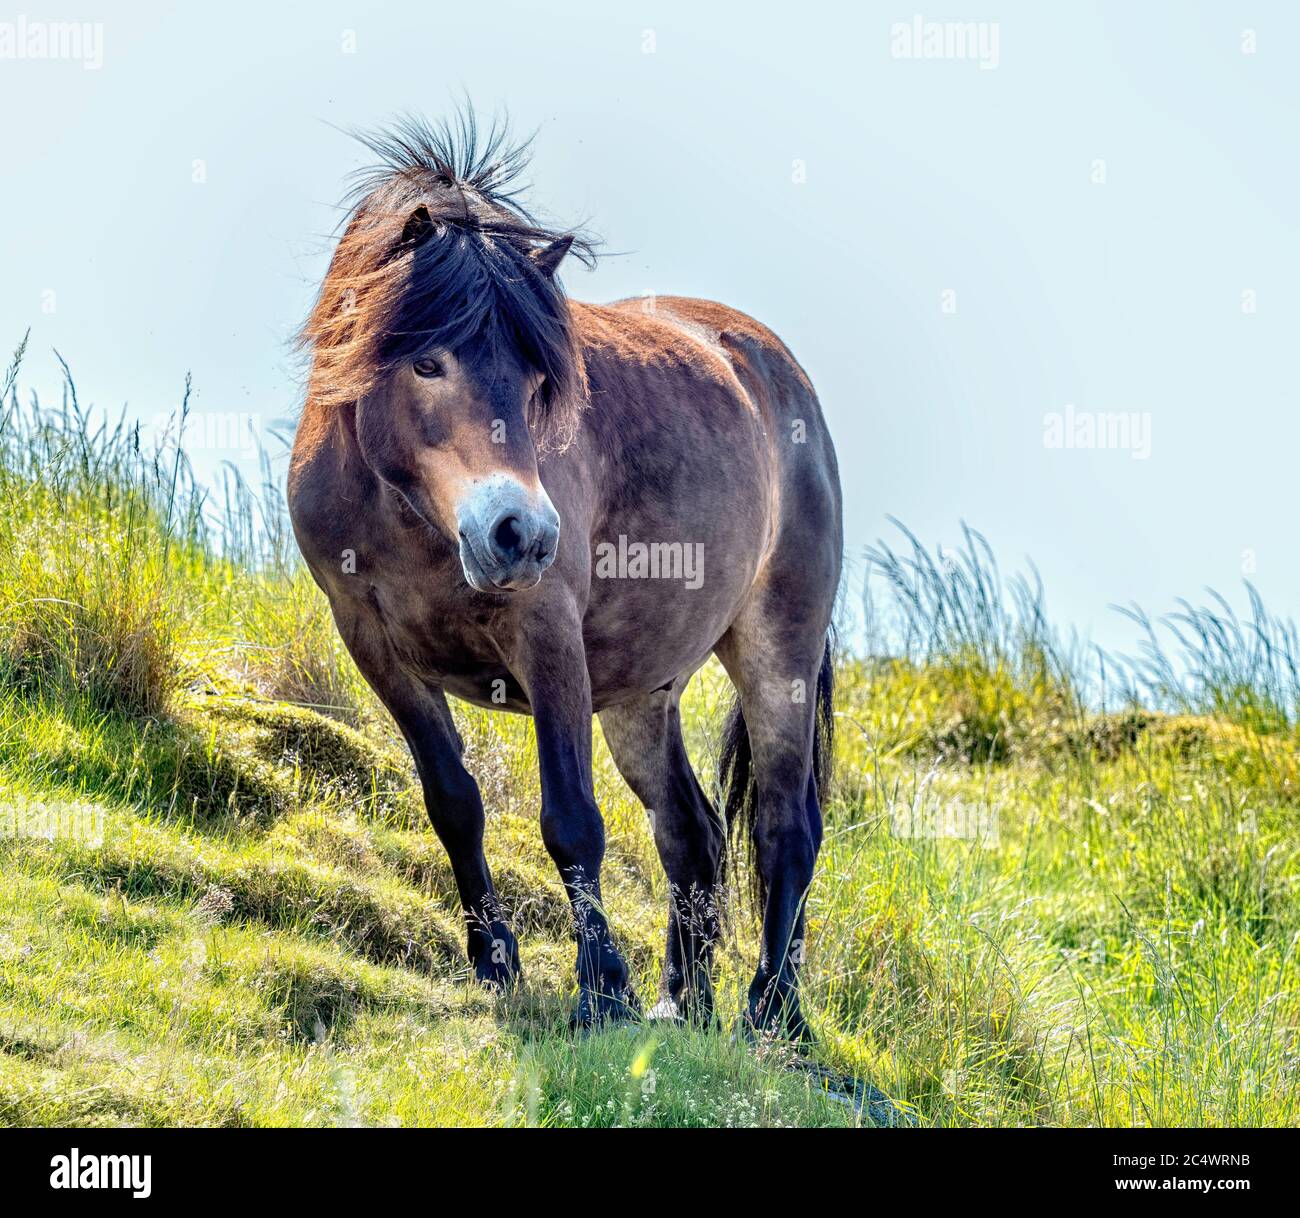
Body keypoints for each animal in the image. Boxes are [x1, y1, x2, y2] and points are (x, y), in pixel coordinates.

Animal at [287, 109, 842, 1029]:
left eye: (538, 374)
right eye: (427, 361)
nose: (519, 535)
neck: (407, 515)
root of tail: (777, 373)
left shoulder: (546, 636)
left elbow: (571, 821)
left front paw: (602, 991)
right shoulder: (373, 644)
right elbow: (453, 802)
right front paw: (494, 961)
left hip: (778, 650)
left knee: (785, 829)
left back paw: (773, 1014)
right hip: (643, 694)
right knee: (691, 833)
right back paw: (682, 1006)